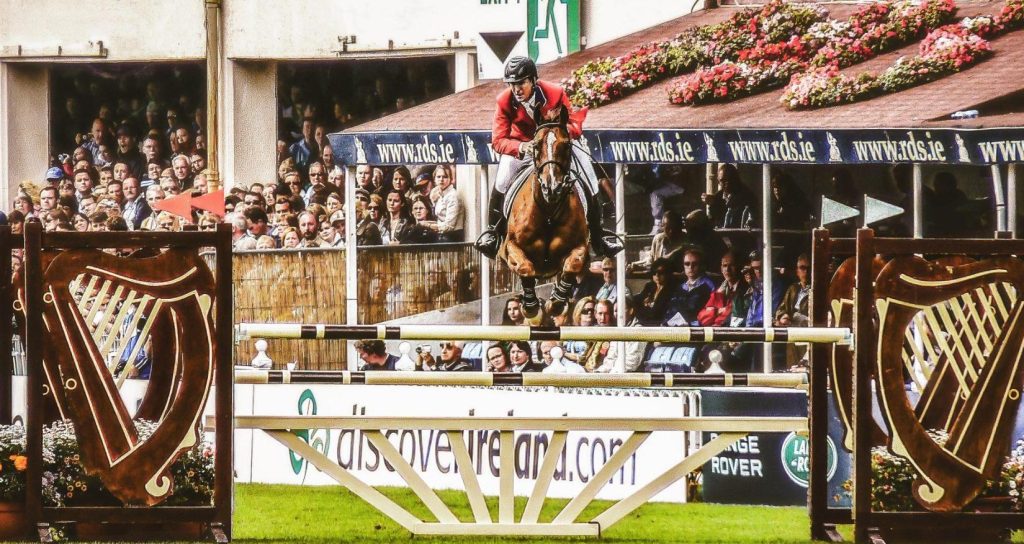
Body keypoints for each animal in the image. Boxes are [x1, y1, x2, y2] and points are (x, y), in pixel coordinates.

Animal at [501, 104, 589, 321]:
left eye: (567, 145)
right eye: (536, 145)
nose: (552, 188)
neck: (548, 213)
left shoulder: (581, 246)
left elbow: (573, 265)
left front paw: (555, 303)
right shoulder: (510, 248)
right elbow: (525, 268)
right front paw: (531, 308)